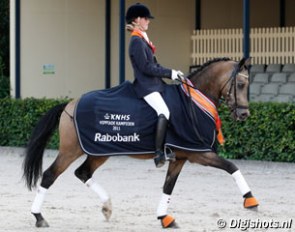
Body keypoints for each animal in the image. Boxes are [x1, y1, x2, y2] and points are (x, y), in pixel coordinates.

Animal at [22, 56, 260, 228]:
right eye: (240, 84)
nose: (244, 115)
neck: (194, 101)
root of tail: (70, 104)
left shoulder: (181, 157)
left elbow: (168, 186)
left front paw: (165, 218)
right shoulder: (198, 153)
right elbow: (231, 166)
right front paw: (251, 200)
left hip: (99, 152)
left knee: (83, 172)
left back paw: (107, 207)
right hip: (71, 150)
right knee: (50, 175)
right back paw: (39, 217)